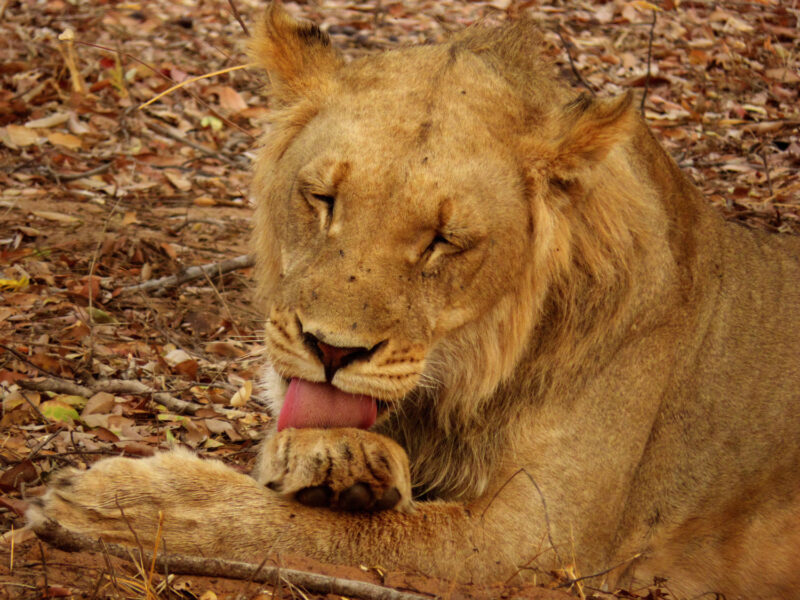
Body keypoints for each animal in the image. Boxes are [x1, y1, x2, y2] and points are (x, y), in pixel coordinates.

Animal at [25, 4, 800, 600]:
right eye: (323, 199)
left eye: (443, 241)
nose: (330, 349)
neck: (464, 377)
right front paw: (334, 459)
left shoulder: (541, 541)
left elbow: (356, 537)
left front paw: (125, 505)